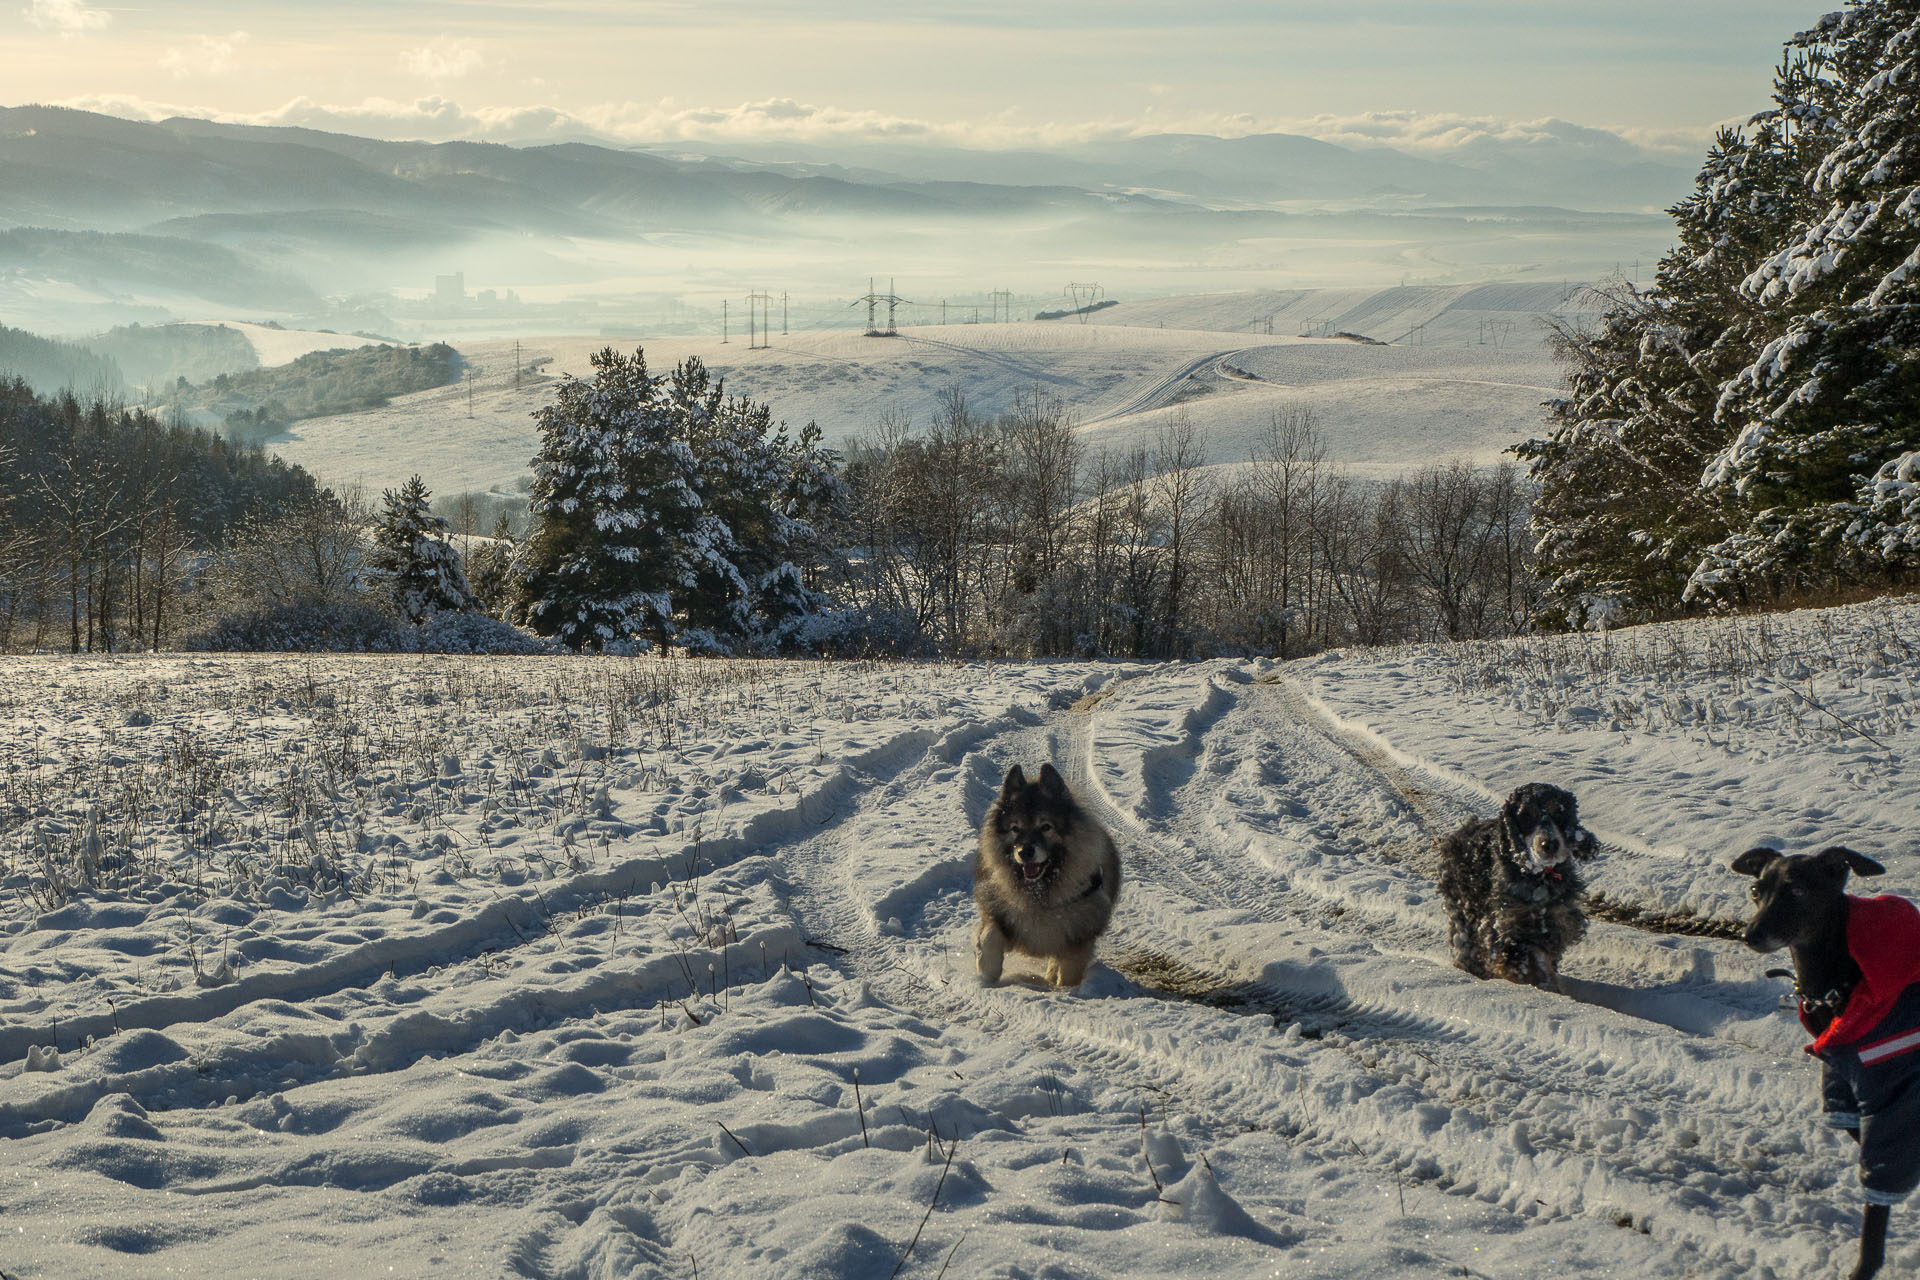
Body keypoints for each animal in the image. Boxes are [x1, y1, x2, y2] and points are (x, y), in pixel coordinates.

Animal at [975, 759, 1121, 990]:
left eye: (1045, 827)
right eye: (1015, 828)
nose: (1025, 852)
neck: (1040, 891)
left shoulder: (1079, 933)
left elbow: (1069, 969)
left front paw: (1065, 990)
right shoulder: (998, 909)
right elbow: (991, 936)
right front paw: (986, 972)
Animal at [1436, 782, 1597, 990]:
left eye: (1558, 811)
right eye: (1526, 815)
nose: (1549, 845)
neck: (1539, 878)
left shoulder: (1557, 924)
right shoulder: (1507, 929)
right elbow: (1524, 961)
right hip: (1463, 914)